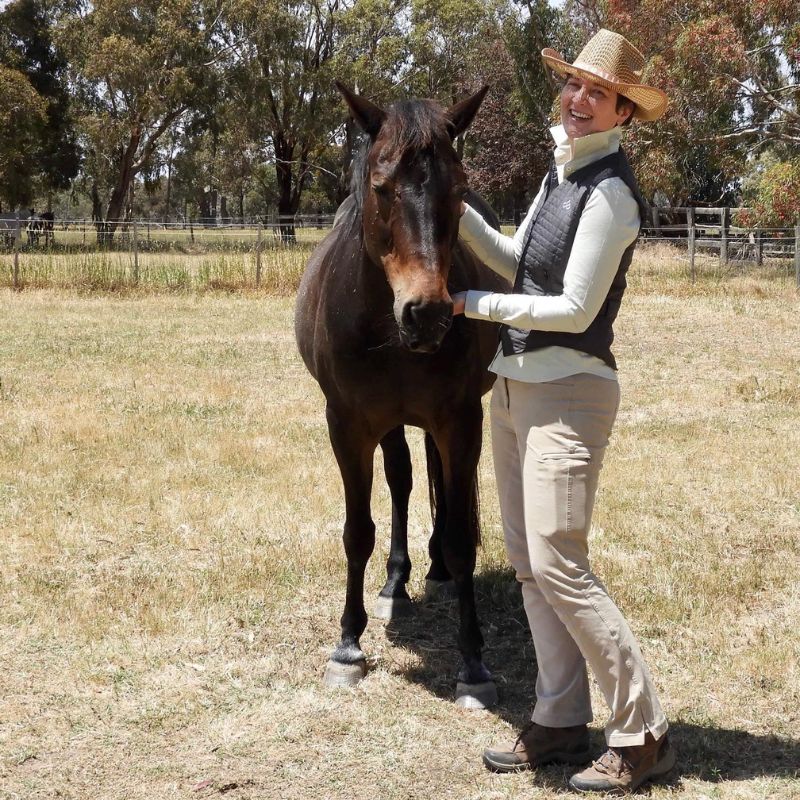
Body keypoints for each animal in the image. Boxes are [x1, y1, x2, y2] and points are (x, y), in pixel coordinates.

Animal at [294, 83, 509, 707]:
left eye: (457, 191)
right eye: (380, 186)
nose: (427, 313)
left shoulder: (460, 419)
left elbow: (461, 535)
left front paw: (473, 662)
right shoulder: (348, 424)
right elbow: (357, 531)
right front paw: (348, 644)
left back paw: (434, 569)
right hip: (390, 423)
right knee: (402, 479)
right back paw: (396, 583)